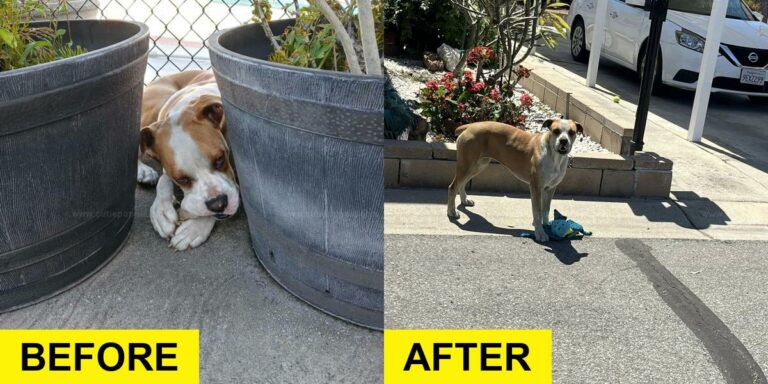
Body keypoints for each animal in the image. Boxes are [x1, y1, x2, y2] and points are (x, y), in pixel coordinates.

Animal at [137, 70, 240, 250]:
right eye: (182, 179)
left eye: (220, 159)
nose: (218, 204)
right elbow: (163, 180)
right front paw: (161, 210)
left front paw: (194, 228)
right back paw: (143, 170)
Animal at [444, 118, 584, 242]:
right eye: (556, 131)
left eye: (572, 132)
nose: (563, 141)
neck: (554, 156)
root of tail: (470, 126)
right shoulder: (536, 188)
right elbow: (537, 211)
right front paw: (540, 233)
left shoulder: (550, 188)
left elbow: (546, 209)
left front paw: (546, 226)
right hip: (467, 165)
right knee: (453, 187)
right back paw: (452, 211)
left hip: (478, 165)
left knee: (461, 184)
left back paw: (464, 200)